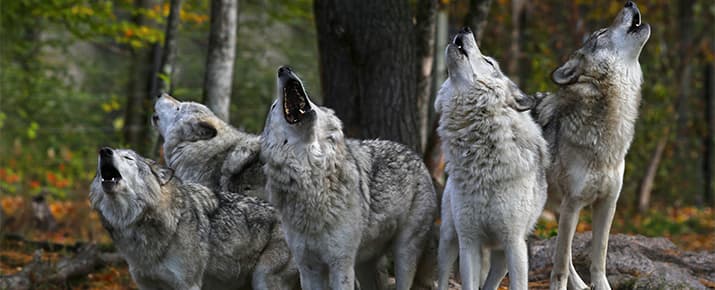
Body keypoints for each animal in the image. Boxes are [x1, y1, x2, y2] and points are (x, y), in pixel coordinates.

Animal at [260, 66, 440, 290]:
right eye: (274, 106)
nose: (284, 68)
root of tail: (416, 156)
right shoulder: (308, 268)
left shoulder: (341, 263)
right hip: (365, 266)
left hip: (404, 253)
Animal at [434, 27, 552, 290]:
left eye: (488, 62)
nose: (465, 28)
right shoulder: (468, 241)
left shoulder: (514, 244)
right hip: (448, 239)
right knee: (443, 275)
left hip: (501, 258)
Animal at [532, 1, 656, 288]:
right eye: (601, 34)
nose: (629, 3)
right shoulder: (574, 203)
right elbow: (560, 265)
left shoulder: (607, 204)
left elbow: (598, 257)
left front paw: (600, 286)